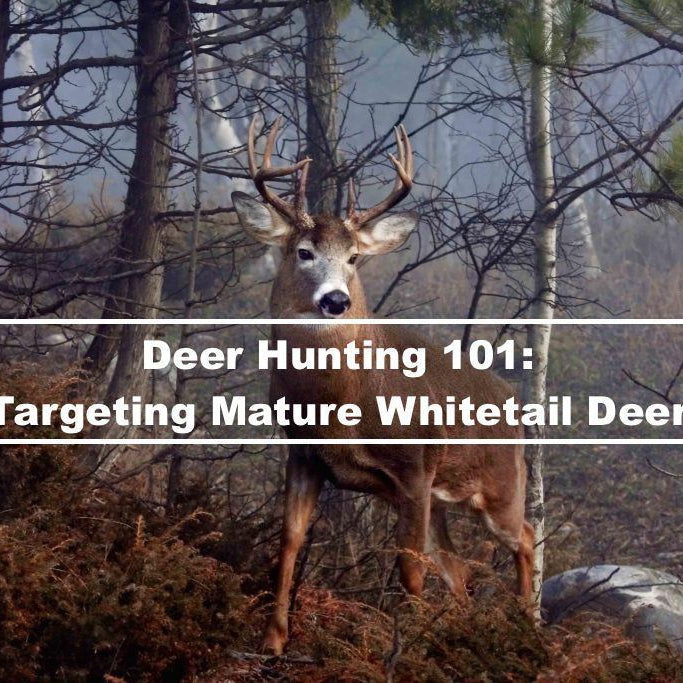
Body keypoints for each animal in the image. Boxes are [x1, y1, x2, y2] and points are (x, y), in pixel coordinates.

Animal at [231, 116, 534, 656]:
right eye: (303, 252)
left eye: (354, 257)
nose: (335, 300)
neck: (341, 407)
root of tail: (514, 401)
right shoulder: (304, 455)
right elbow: (289, 543)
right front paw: (273, 640)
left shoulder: (413, 469)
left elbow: (409, 569)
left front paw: (403, 650)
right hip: (442, 501)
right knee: (459, 571)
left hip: (500, 483)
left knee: (526, 535)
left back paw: (531, 627)